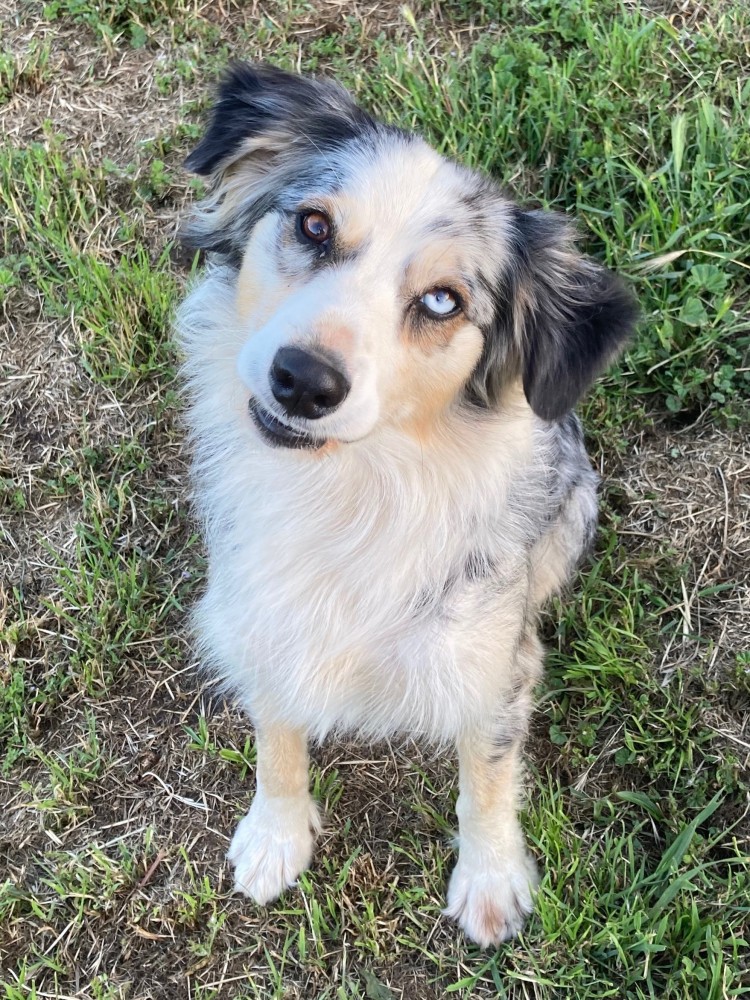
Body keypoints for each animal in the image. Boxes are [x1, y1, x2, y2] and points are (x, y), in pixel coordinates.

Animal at [175, 64, 636, 944]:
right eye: (313, 225)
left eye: (443, 301)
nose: (303, 380)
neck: (351, 488)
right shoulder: (259, 610)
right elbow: (275, 734)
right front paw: (276, 834)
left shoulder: (493, 667)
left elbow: (487, 775)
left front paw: (490, 881)